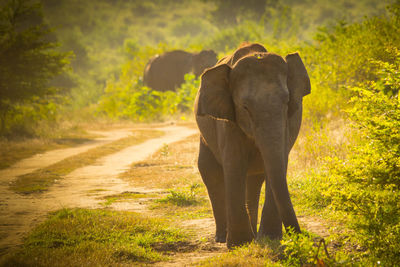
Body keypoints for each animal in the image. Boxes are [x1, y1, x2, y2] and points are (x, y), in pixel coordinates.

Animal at [195, 43, 310, 250]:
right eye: (245, 107)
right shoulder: (228, 122)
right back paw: (223, 238)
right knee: (210, 171)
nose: (299, 236)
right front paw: (239, 244)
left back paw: (255, 235)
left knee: (255, 180)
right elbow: (234, 164)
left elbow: (279, 163)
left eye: (287, 102)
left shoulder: (289, 122)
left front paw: (270, 239)